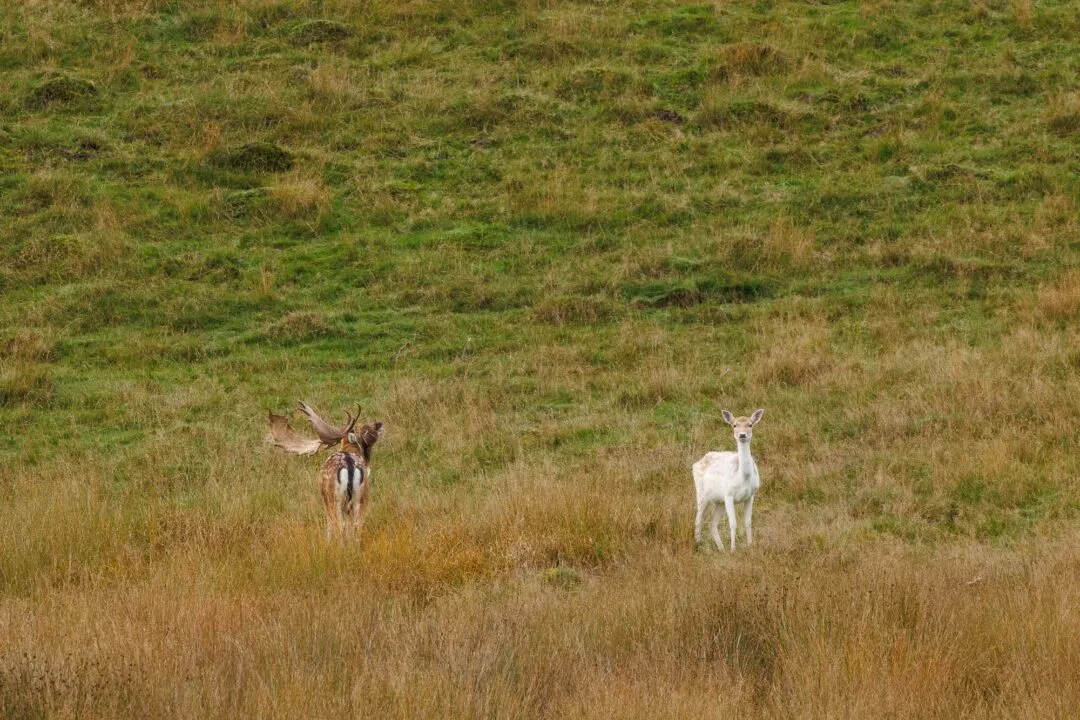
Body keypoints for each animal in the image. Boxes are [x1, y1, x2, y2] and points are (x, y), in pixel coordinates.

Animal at [266, 402, 384, 541]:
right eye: (363, 428)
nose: (378, 425)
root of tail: (349, 465)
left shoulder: (324, 498)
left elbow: (329, 525)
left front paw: (327, 541)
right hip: (363, 497)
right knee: (356, 526)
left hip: (334, 498)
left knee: (340, 525)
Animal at [692, 408, 764, 552]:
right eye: (734, 425)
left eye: (750, 424)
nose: (742, 435)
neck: (743, 478)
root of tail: (697, 463)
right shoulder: (729, 494)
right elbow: (733, 523)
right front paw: (733, 549)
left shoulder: (751, 495)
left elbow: (748, 521)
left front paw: (750, 546)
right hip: (702, 494)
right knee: (698, 520)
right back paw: (699, 544)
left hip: (719, 501)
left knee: (713, 523)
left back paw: (721, 549)